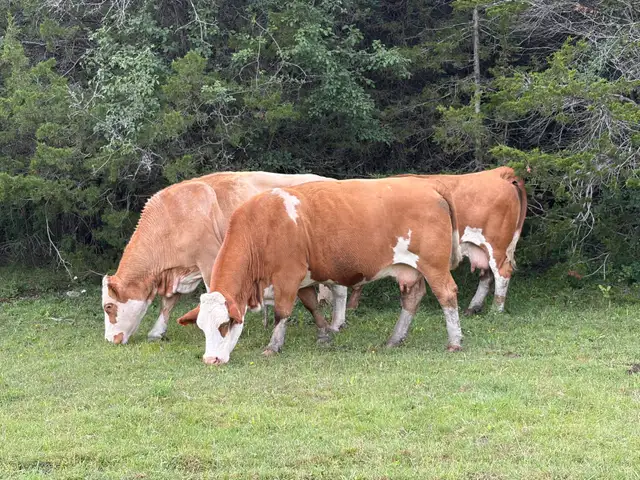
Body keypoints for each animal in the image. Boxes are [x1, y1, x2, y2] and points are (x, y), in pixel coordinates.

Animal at [102, 171, 348, 345]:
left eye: (108, 307)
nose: (110, 340)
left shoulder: (209, 259)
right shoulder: (182, 271)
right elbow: (168, 303)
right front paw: (157, 332)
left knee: (340, 290)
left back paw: (337, 324)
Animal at [189, 176, 464, 365]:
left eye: (225, 324)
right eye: (201, 327)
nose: (211, 360)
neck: (262, 225)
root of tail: (427, 185)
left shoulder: (288, 276)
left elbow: (282, 312)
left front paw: (274, 345)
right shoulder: (303, 278)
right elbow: (311, 304)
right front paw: (323, 335)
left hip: (434, 265)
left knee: (447, 295)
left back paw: (454, 341)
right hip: (410, 269)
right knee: (412, 299)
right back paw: (394, 339)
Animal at [330, 166, 527, 332]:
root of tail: (498, 172)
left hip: (496, 246)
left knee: (502, 273)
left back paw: (496, 310)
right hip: (481, 248)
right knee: (486, 275)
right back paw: (473, 307)